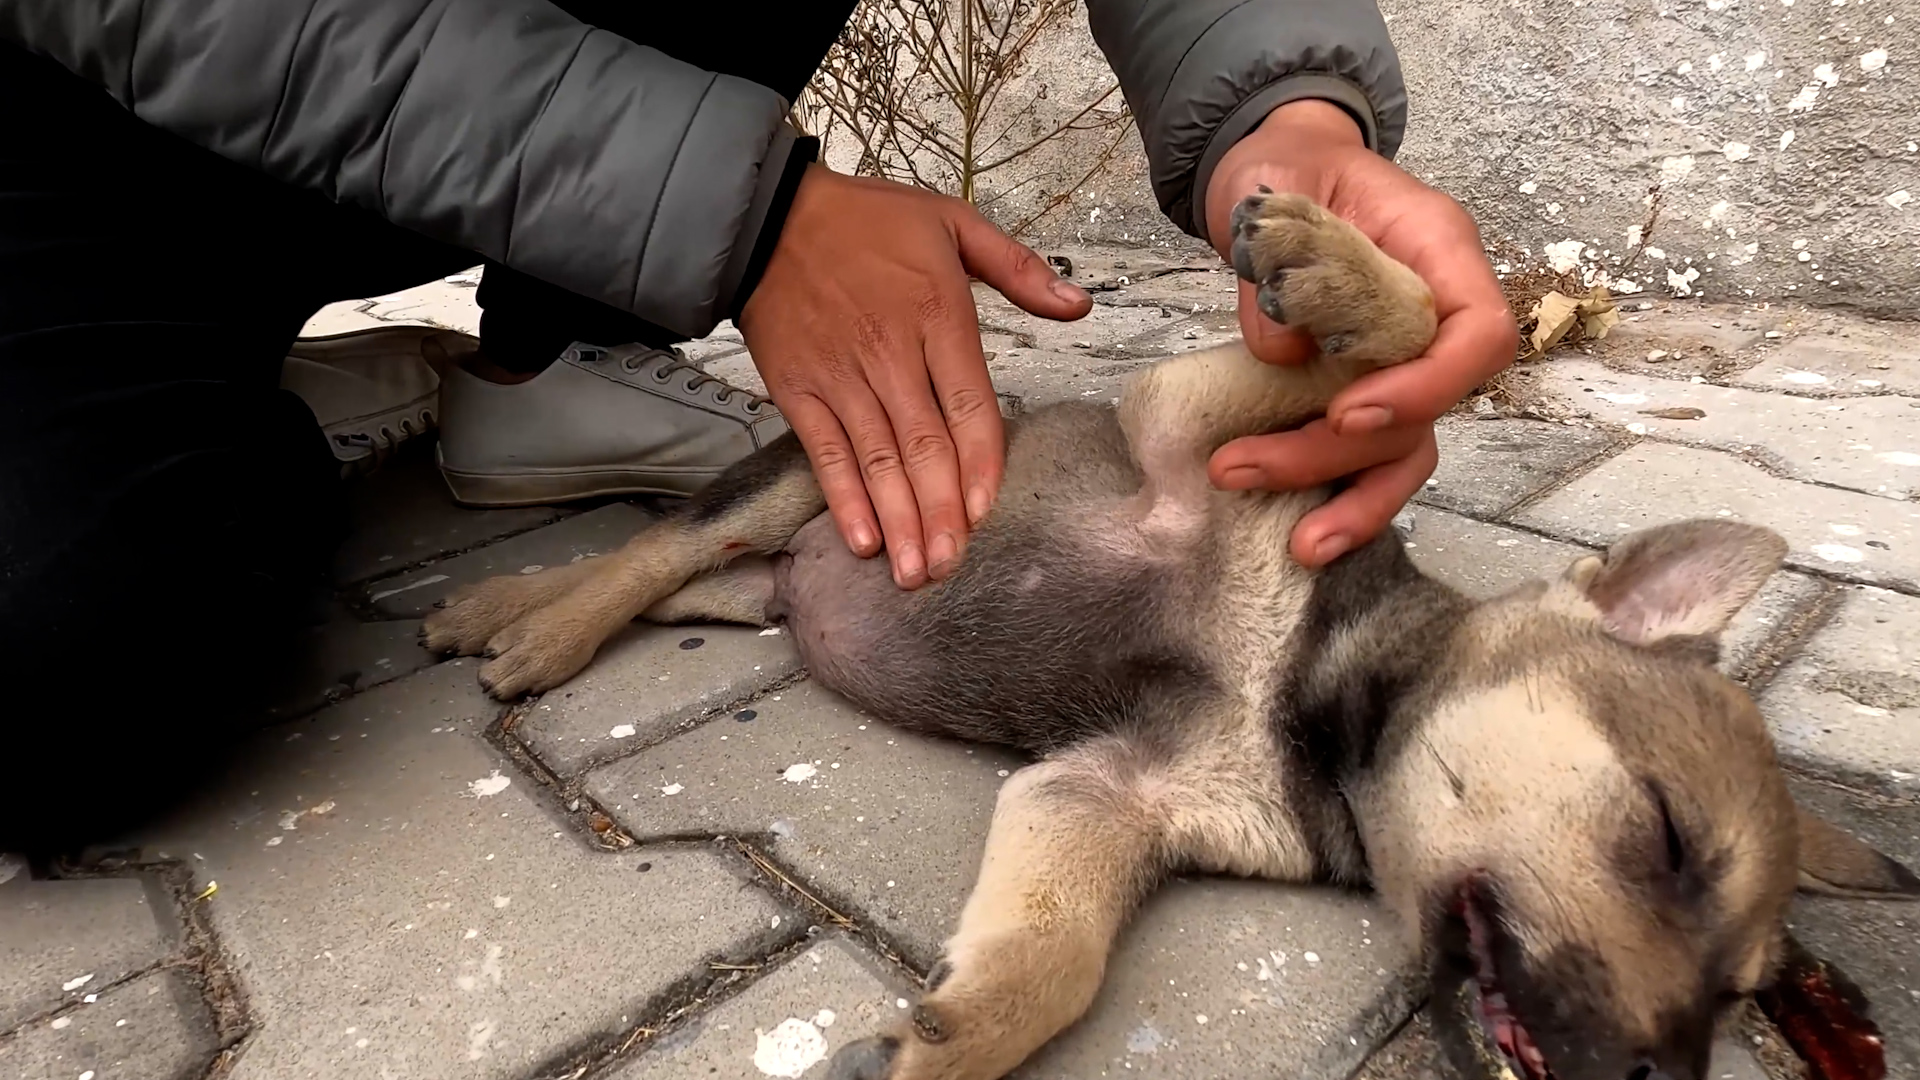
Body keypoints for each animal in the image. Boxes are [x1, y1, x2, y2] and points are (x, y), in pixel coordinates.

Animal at [424, 191, 1920, 1076]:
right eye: (1663, 837)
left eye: (1748, 993)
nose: (1662, 1075)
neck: (1311, 694)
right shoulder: (1198, 422)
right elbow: (1407, 342)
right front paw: (1330, 258)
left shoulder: (1102, 798)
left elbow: (1055, 959)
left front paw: (949, 1035)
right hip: (802, 475)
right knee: (659, 546)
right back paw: (525, 628)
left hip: (779, 575)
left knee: (691, 579)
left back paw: (503, 608)